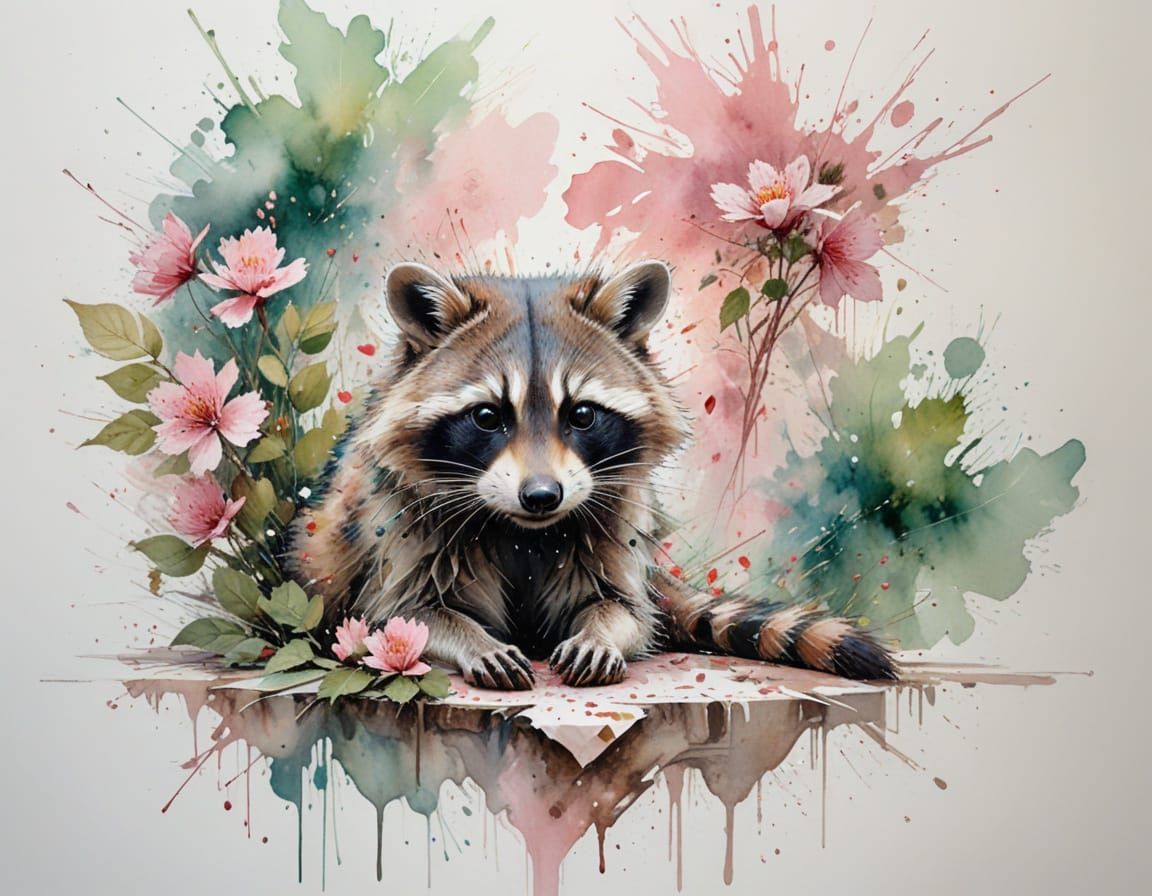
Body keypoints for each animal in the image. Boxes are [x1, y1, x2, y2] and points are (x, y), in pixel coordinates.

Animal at [286, 261, 897, 689]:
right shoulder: (401, 528)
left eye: (581, 414)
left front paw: (602, 630)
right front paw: (470, 639)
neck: (524, 532)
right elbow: (401, 616)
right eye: (487, 417)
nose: (541, 496)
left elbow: (626, 609)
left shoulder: (614, 516)